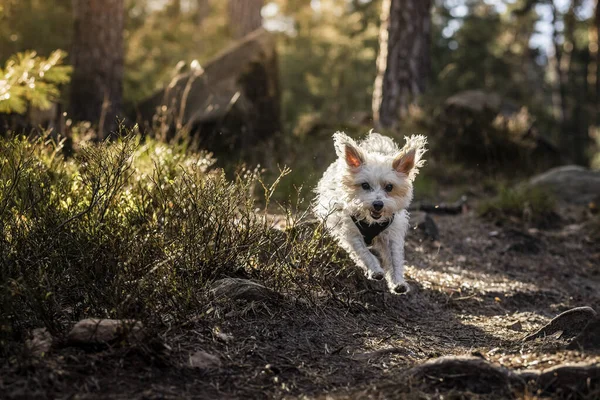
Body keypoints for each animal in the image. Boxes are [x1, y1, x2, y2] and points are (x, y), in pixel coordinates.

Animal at [314, 131, 426, 294]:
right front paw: (375, 270)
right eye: (365, 185)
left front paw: (398, 282)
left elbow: (395, 259)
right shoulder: (351, 233)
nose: (378, 204)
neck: (372, 222)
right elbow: (364, 253)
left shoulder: (392, 234)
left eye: (389, 187)